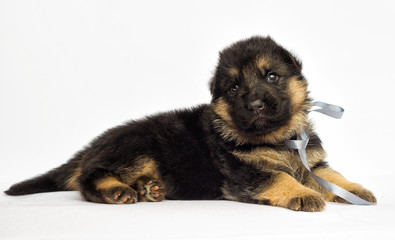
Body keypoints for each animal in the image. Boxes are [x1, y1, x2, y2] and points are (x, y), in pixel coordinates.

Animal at [6, 36, 378, 211]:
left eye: (271, 76)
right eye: (234, 87)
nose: (255, 105)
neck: (278, 138)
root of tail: (93, 146)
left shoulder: (314, 162)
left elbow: (332, 176)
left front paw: (355, 190)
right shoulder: (245, 173)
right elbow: (279, 177)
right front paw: (302, 193)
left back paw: (148, 188)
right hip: (138, 147)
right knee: (88, 178)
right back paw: (117, 190)